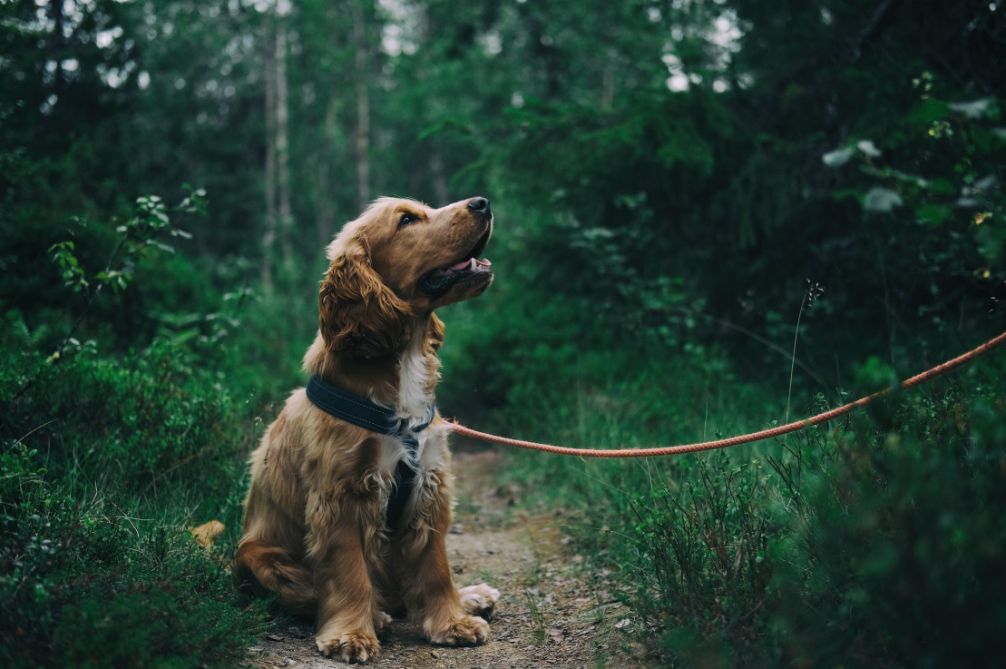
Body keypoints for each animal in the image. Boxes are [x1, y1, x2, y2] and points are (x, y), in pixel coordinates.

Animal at [236, 196, 503, 659]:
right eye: (407, 220)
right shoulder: (342, 494)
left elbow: (436, 566)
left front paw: (451, 621)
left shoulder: (429, 484)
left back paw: (470, 596)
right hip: (259, 558)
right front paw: (351, 635)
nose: (482, 202)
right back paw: (376, 616)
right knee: (315, 593)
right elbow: (348, 573)